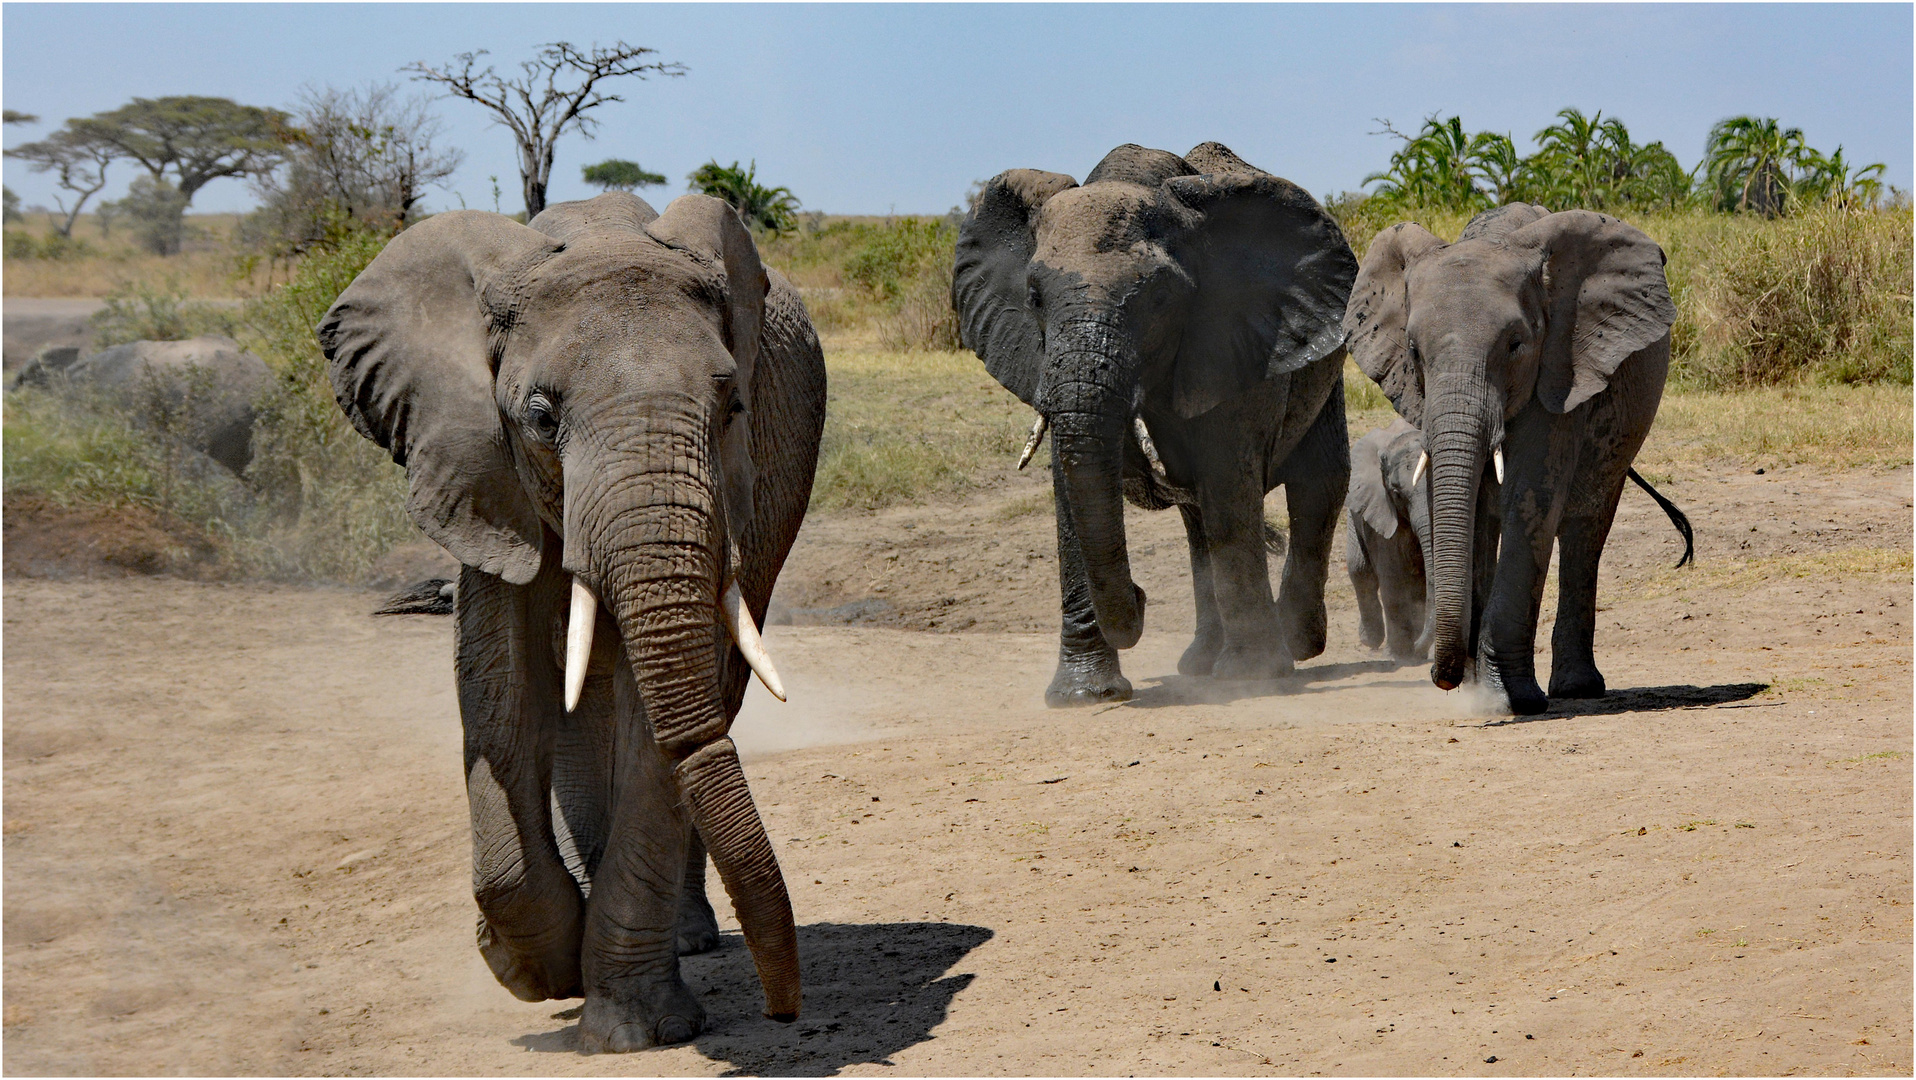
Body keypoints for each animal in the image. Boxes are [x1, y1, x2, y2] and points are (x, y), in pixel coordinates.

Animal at [318, 189, 827, 1049]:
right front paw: (535, 973)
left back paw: (682, 940)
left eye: (734, 406)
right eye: (540, 416)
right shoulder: (480, 469)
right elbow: (499, 686)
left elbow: (657, 719)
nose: (784, 1009)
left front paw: (634, 1027)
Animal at [958, 138, 1364, 704]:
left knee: (1316, 484)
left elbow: (1229, 484)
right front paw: (1086, 695)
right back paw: (1200, 663)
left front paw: (1252, 678)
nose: (1141, 594)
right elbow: (1070, 487)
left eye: (1160, 298)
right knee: (1198, 521)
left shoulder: (1237, 339)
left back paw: (1293, 648)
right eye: (1034, 297)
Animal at [1348, 202, 1678, 716]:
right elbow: (1459, 503)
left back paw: (1576, 688)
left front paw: (1510, 700)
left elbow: (1531, 496)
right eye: (1413, 351)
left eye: (1516, 344)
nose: (1442, 677)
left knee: (1585, 523)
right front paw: (1474, 692)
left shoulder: (1559, 367)